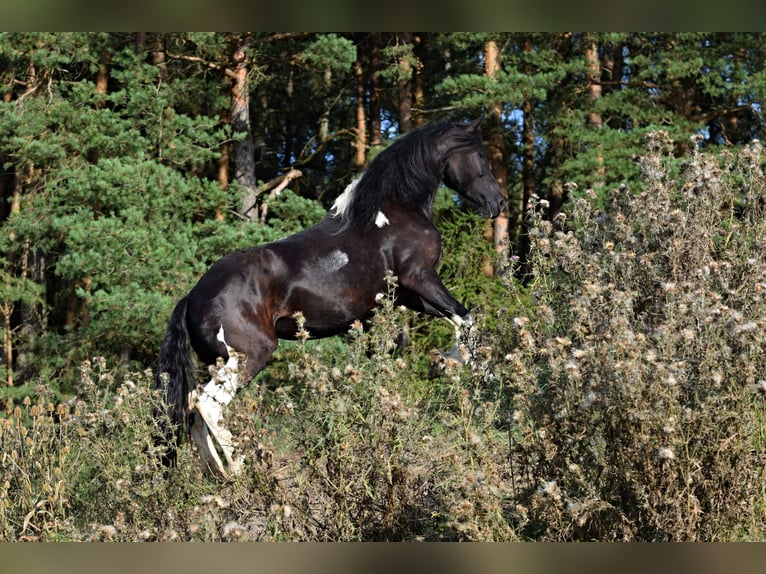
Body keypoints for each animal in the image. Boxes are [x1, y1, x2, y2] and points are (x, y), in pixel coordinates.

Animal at [154, 117, 510, 476]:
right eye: (481, 154)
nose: (498, 203)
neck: (393, 214)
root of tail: (192, 297)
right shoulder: (421, 279)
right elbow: (465, 317)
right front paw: (471, 370)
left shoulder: (406, 297)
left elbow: (453, 322)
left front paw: (449, 364)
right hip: (246, 355)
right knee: (206, 405)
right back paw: (239, 469)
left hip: (219, 362)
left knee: (192, 412)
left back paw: (218, 475)